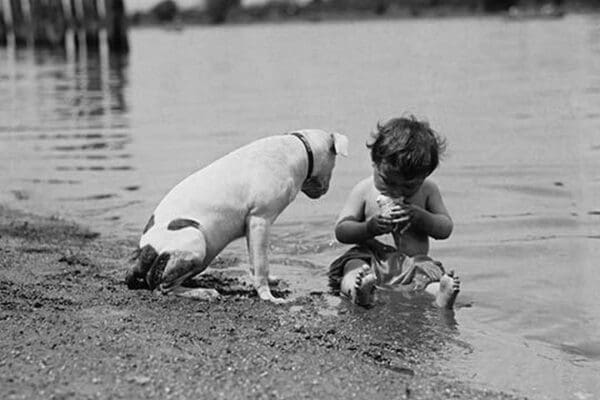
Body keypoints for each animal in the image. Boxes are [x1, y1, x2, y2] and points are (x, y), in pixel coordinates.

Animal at [128, 130, 350, 304]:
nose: (325, 191)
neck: (300, 149)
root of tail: (144, 250)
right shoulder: (260, 220)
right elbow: (261, 264)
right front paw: (268, 297)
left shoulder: (252, 227)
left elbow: (255, 261)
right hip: (194, 238)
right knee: (161, 286)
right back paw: (203, 292)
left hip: (204, 254)